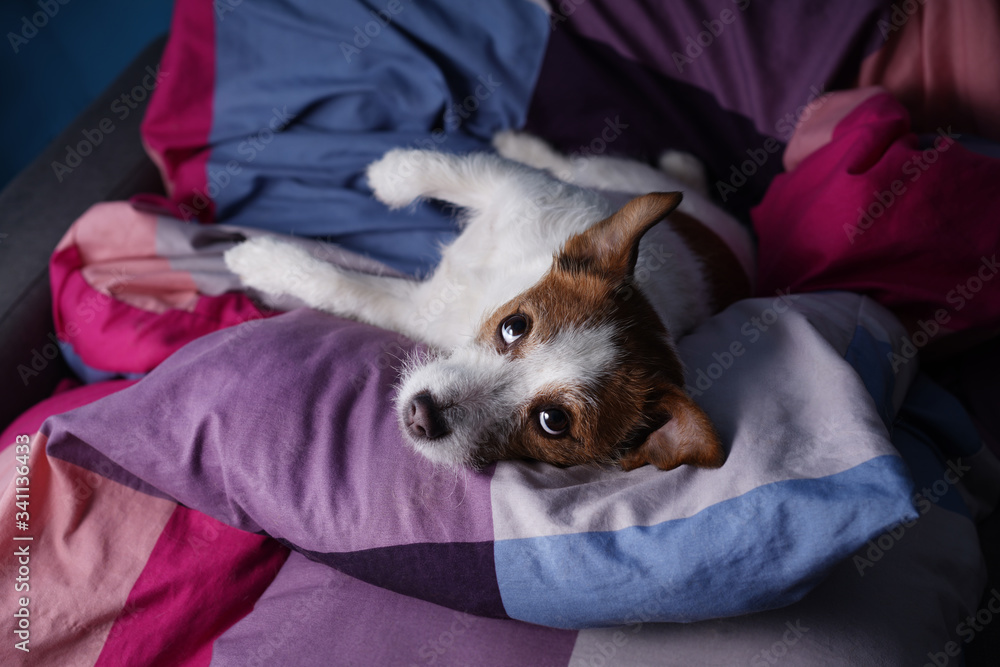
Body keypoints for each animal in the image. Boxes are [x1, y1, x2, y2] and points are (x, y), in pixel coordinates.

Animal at [224, 132, 753, 471]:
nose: (422, 414)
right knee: (566, 163)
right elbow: (457, 167)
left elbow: (338, 286)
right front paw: (387, 175)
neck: (493, 286)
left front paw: (262, 260)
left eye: (553, 422)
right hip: (612, 174)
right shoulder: (522, 191)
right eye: (514, 325)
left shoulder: (413, 309)